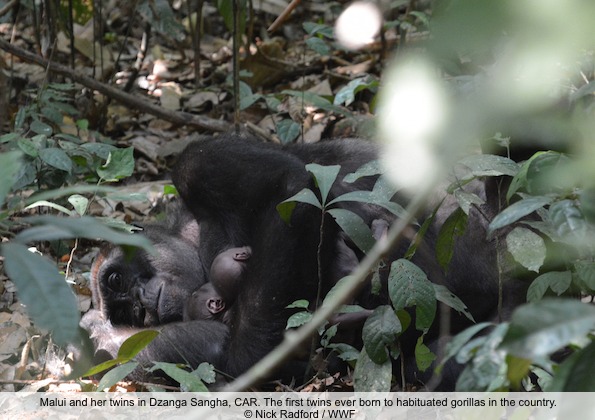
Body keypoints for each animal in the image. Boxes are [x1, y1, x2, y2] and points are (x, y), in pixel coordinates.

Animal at [82, 135, 520, 388]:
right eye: (126, 312)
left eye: (117, 280)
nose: (140, 303)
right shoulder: (118, 348)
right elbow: (234, 357)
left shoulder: (197, 165)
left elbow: (285, 186)